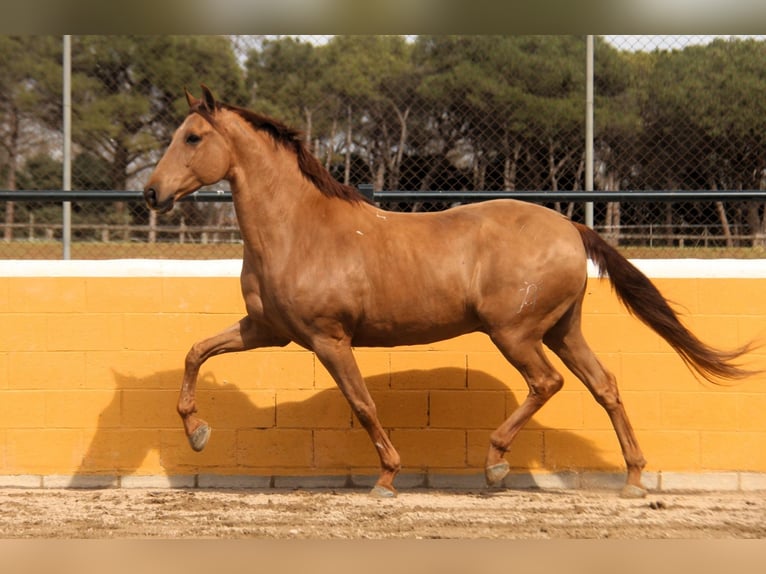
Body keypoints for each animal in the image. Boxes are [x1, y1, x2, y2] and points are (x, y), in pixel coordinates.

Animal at [144, 85, 756, 499]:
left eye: (193, 137)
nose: (151, 193)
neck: (300, 228)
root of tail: (568, 226)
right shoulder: (266, 331)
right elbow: (196, 351)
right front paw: (197, 432)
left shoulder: (328, 339)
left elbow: (362, 404)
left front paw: (387, 478)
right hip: (563, 329)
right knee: (604, 385)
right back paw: (632, 478)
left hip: (516, 334)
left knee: (547, 383)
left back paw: (495, 464)